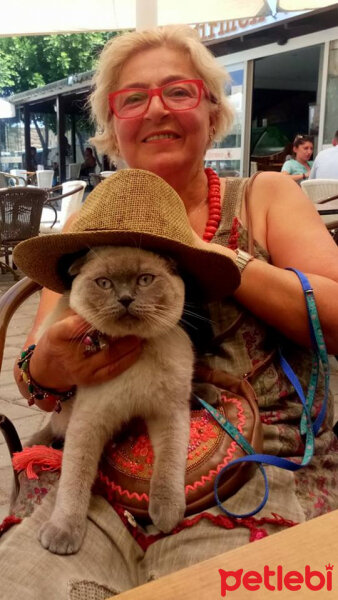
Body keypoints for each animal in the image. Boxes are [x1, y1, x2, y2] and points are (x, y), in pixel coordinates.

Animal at [30, 246, 194, 556]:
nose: (126, 298)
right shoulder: (88, 422)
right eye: (104, 283)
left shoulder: (170, 412)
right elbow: (75, 480)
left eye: (145, 280)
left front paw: (167, 513)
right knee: (55, 430)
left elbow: (169, 464)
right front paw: (62, 534)